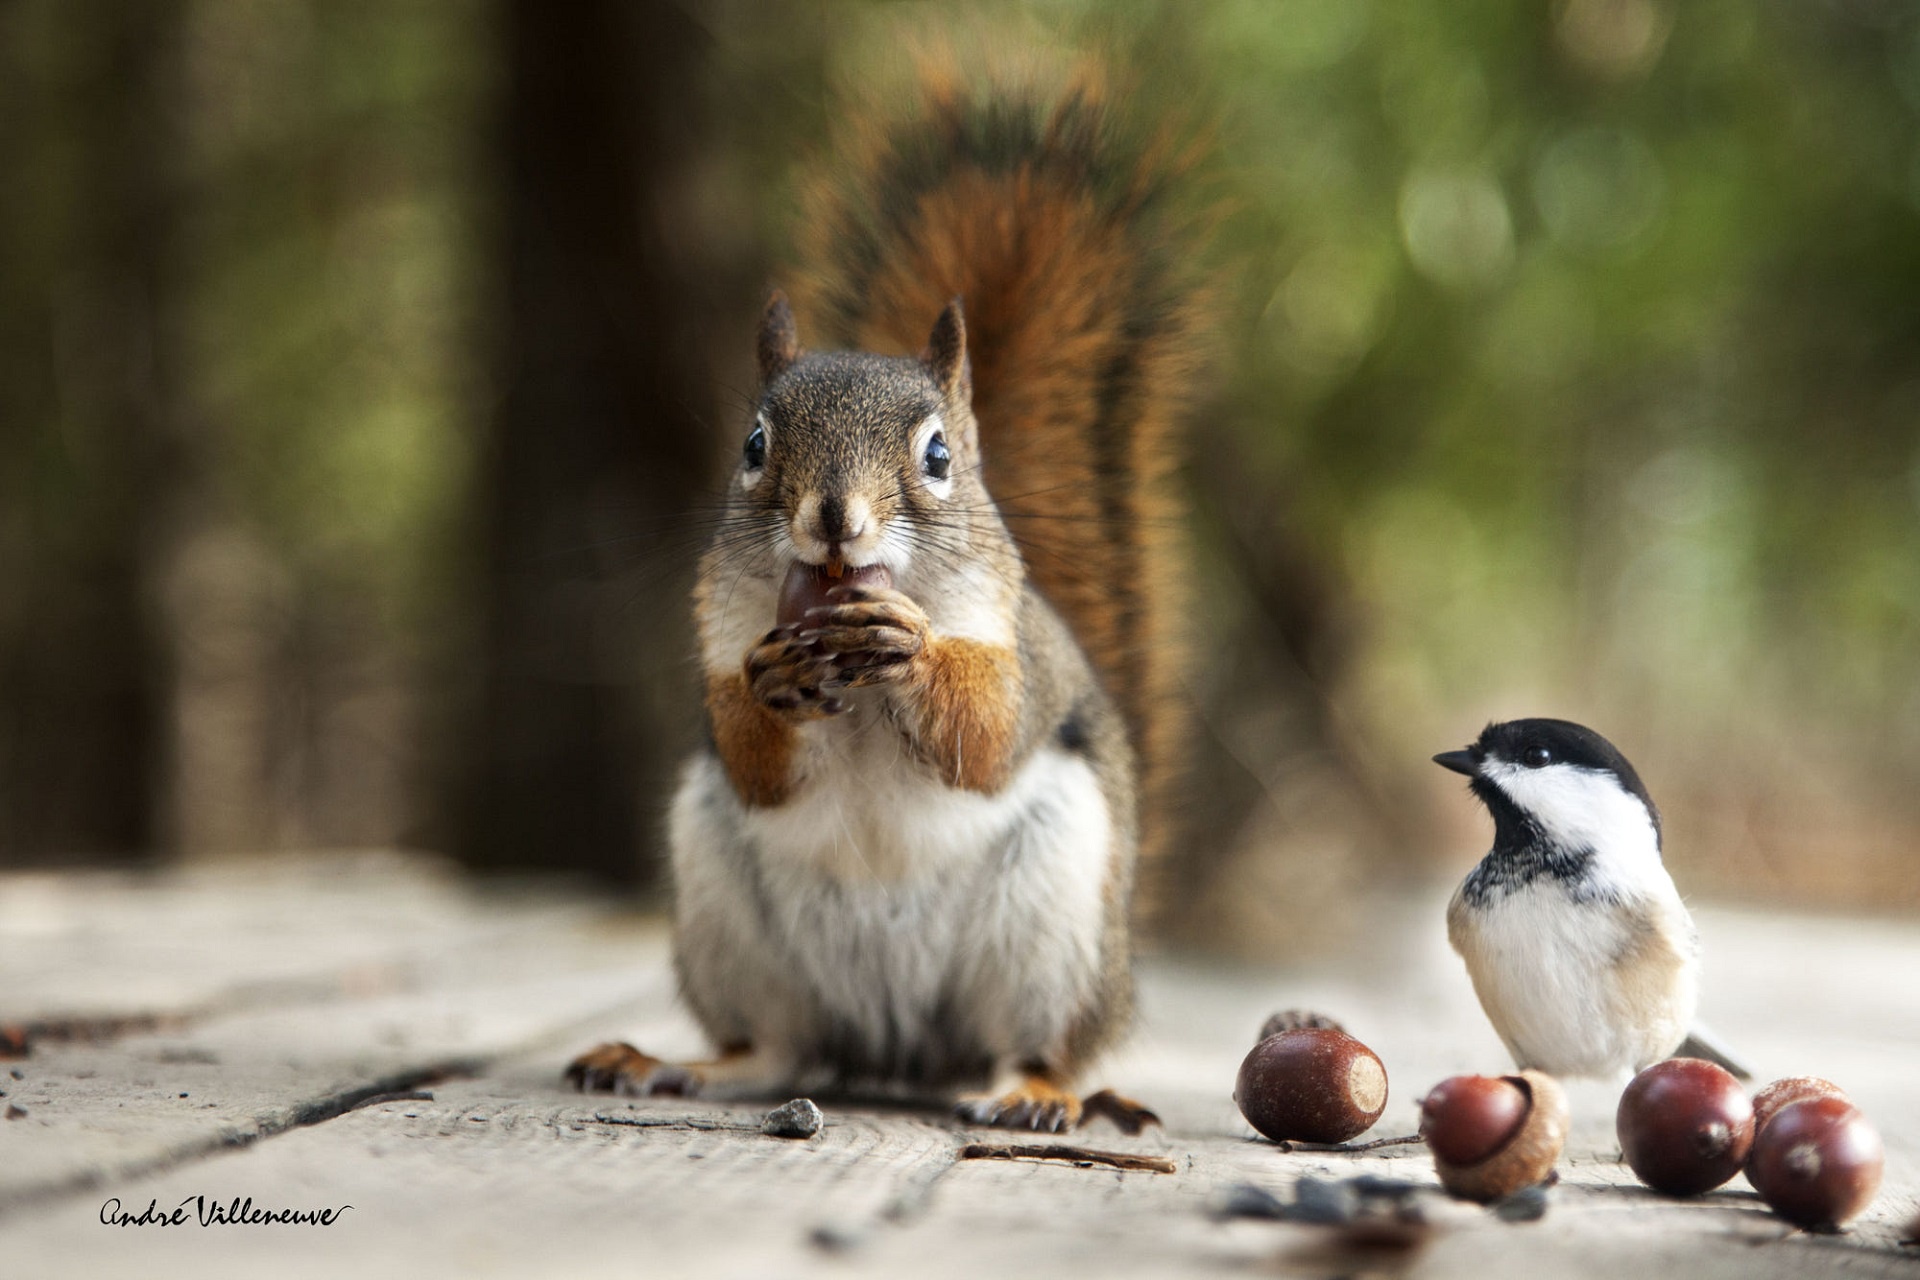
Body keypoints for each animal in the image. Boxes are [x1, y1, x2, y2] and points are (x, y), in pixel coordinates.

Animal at [560, 65, 1205, 1136]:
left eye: (939, 456)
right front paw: (773, 674)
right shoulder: (719, 637)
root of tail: (898, 1047)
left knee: (1036, 1045)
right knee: (775, 1045)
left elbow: (988, 735)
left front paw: (917, 649)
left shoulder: (1019, 653)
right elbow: (753, 757)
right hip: (725, 905)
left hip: (1056, 926)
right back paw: (669, 1063)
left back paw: (1035, 1094)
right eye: (753, 445)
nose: (834, 521)